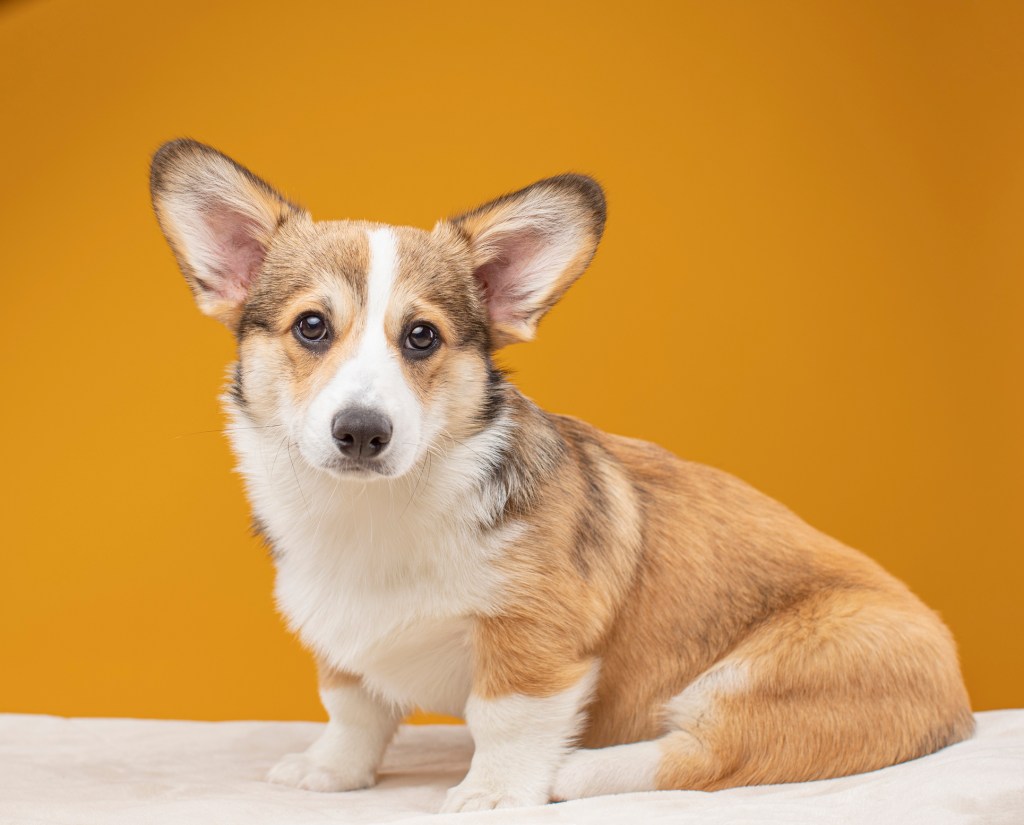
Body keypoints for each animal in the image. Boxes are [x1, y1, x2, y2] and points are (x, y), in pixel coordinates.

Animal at [148, 140, 970, 814]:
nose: (360, 432)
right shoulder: (341, 644)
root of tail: (957, 697)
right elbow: (352, 708)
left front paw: (493, 791)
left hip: (770, 676)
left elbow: (506, 717)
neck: (374, 511)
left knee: (710, 755)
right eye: (311, 326)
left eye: (422, 337)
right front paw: (332, 771)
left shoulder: (534, 635)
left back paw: (575, 772)